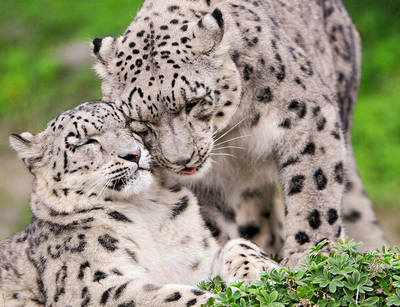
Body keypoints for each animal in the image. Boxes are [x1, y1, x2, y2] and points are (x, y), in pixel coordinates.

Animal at [1, 101, 280, 307]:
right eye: (85, 141)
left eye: (129, 124)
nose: (133, 153)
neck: (145, 211)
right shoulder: (90, 285)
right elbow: (164, 295)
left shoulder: (197, 262)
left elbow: (238, 244)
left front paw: (260, 275)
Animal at [92, 0, 390, 268]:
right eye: (138, 120)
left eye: (193, 103)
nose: (181, 160)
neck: (233, 133)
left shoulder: (307, 116)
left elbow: (314, 190)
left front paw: (308, 256)